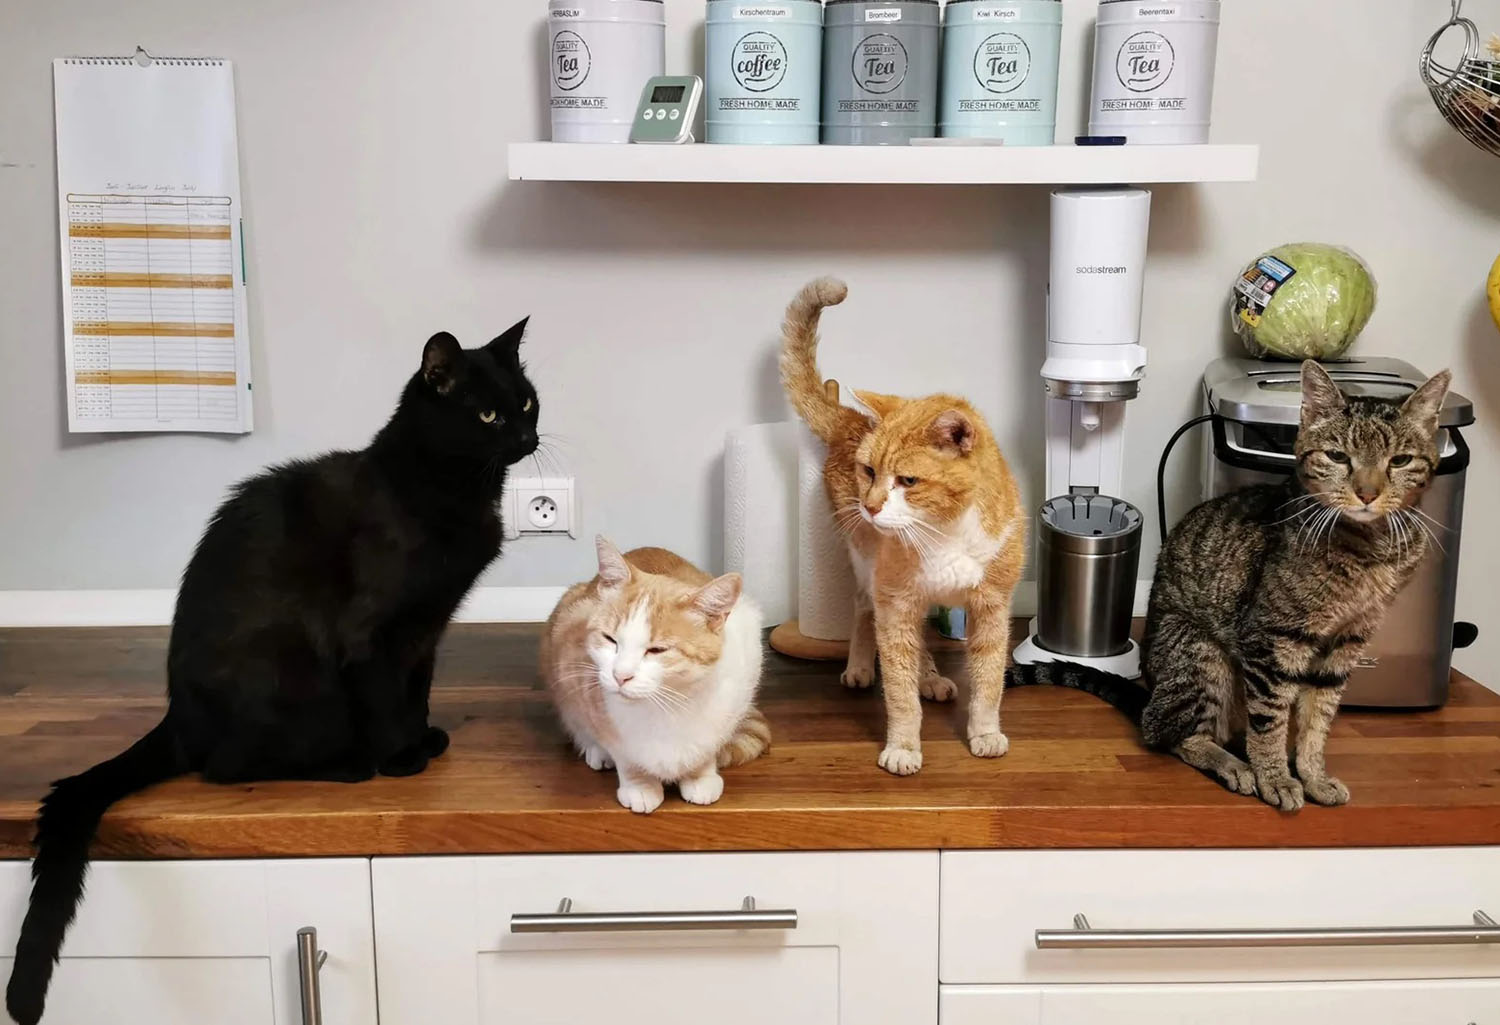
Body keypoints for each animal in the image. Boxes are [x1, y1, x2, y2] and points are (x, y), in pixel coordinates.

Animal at [2, 321, 543, 1025]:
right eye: (487, 416)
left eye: (527, 403)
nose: (527, 437)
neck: (451, 489)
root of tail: (178, 715)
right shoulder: (371, 634)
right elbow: (384, 699)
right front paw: (402, 758)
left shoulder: (427, 630)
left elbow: (416, 691)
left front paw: (424, 738)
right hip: (290, 678)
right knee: (225, 766)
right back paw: (350, 764)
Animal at [543, 537, 774, 816]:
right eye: (610, 639)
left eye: (657, 650)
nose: (620, 675)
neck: (669, 704)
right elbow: (623, 751)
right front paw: (639, 784)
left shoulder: (741, 683)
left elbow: (710, 743)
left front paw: (701, 775)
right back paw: (596, 749)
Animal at [780, 276, 1026, 774]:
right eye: (869, 471)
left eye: (908, 481)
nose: (870, 506)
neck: (946, 532)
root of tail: (851, 420)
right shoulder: (894, 601)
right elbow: (898, 689)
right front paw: (903, 747)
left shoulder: (991, 607)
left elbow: (989, 682)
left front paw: (985, 733)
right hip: (865, 564)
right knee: (864, 609)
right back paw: (860, 667)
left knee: (921, 644)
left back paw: (931, 678)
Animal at [1014, 364, 1446, 816]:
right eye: (1338, 457)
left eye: (1400, 461)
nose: (1367, 493)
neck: (1367, 549)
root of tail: (1151, 687)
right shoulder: (1272, 641)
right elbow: (1270, 720)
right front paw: (1276, 778)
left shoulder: (1345, 645)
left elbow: (1317, 722)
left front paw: (1312, 775)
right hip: (1201, 655)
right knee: (1170, 731)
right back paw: (1234, 764)